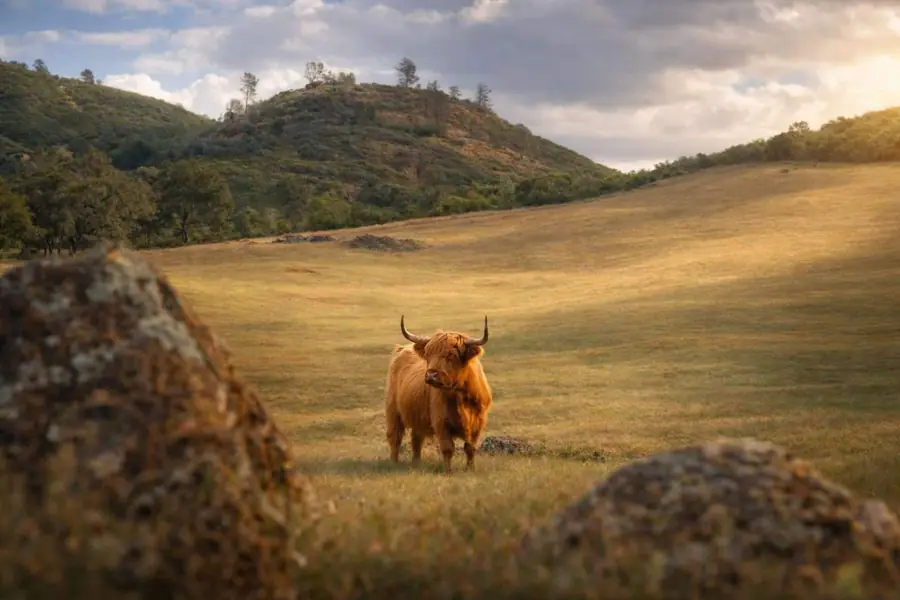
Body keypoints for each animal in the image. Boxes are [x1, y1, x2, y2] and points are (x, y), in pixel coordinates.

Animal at [384, 315, 493, 473]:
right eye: (428, 354)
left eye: (451, 354)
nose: (431, 375)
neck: (459, 397)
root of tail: (403, 348)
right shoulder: (441, 422)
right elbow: (447, 448)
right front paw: (448, 471)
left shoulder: (478, 422)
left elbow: (470, 448)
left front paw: (470, 469)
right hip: (393, 411)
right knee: (395, 437)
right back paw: (393, 462)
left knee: (416, 439)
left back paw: (417, 463)